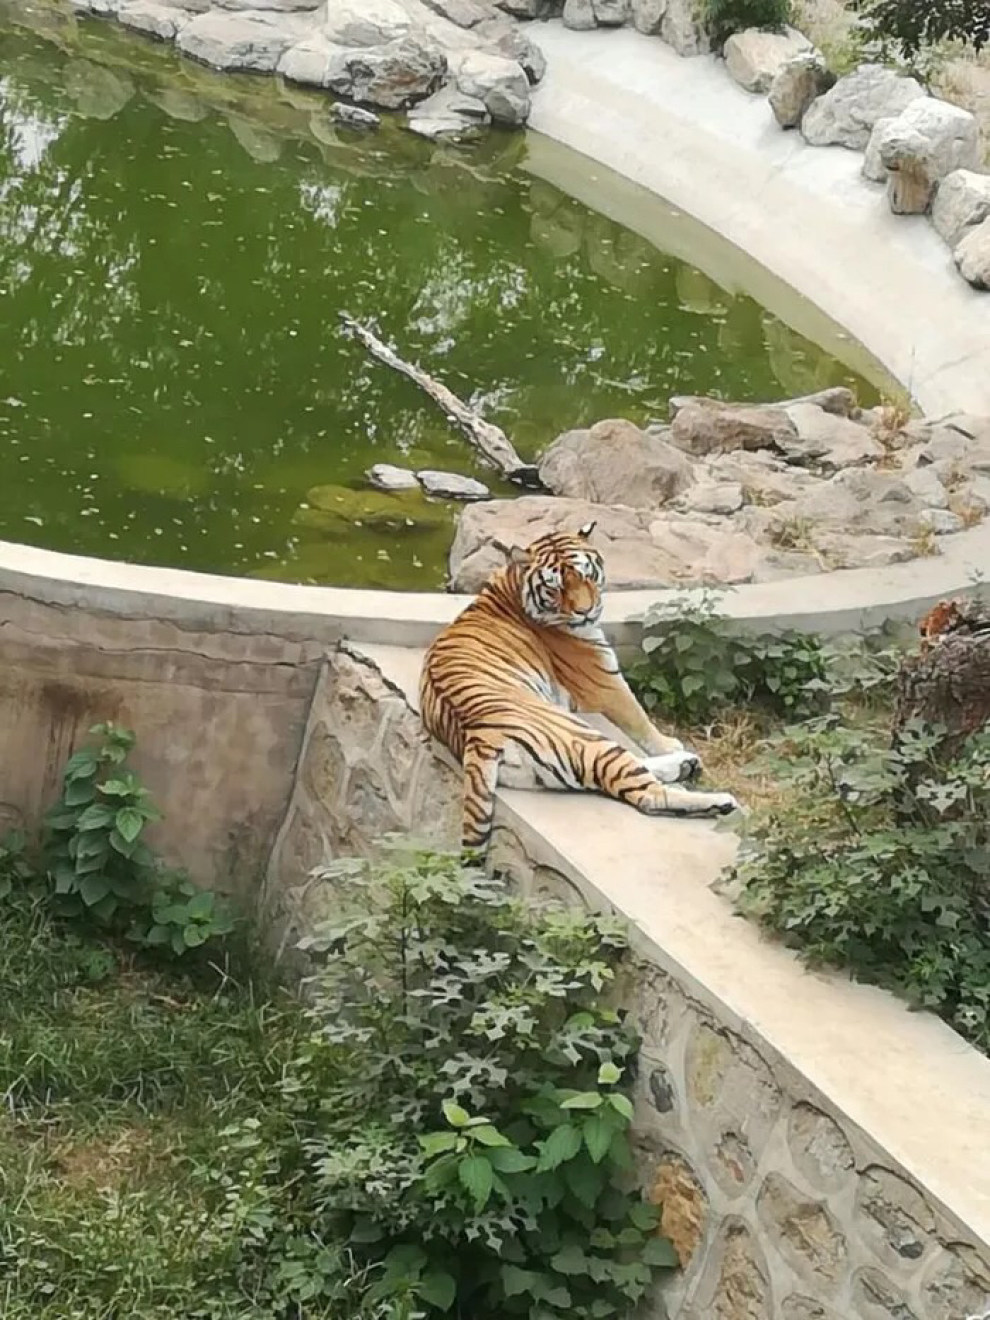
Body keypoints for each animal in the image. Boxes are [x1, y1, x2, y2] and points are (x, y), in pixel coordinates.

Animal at [419, 520, 744, 850]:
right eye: (555, 587)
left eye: (586, 576)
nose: (585, 612)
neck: (512, 585)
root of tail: (481, 738)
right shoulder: (604, 681)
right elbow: (637, 716)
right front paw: (669, 742)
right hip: (581, 735)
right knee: (645, 795)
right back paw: (719, 799)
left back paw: (687, 766)